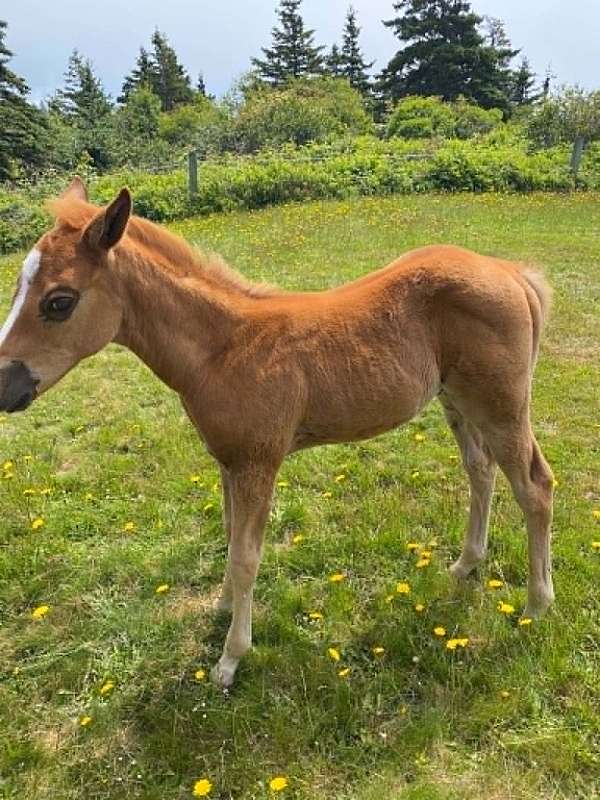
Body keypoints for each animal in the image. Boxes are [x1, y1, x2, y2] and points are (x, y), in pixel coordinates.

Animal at [0, 178, 554, 687]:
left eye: (59, 302)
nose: (4, 386)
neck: (221, 350)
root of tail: (511, 272)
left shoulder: (258, 463)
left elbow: (247, 556)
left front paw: (230, 658)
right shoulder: (227, 461)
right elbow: (228, 537)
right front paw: (223, 606)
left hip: (502, 406)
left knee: (535, 486)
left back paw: (535, 606)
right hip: (457, 402)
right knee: (480, 471)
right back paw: (465, 565)